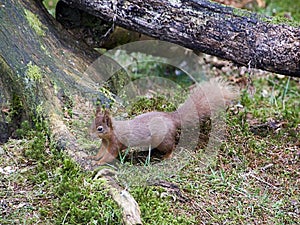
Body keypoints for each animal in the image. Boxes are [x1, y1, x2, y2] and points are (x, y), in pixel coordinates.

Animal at [88, 78, 238, 165]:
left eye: (100, 128)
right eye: (92, 123)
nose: (90, 135)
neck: (112, 132)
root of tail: (173, 118)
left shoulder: (115, 143)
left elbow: (109, 155)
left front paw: (99, 163)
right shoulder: (105, 142)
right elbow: (101, 151)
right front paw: (94, 157)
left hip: (164, 140)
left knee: (172, 146)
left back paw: (167, 156)